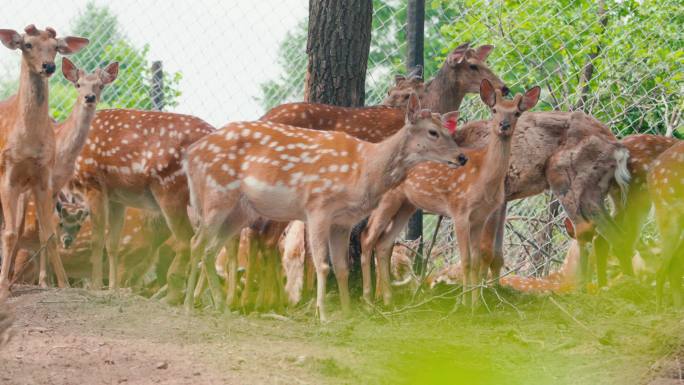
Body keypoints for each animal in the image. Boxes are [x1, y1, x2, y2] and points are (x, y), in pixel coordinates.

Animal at [0, 25, 89, 296]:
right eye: (27, 44)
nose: (48, 66)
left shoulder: (42, 179)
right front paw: (3, 288)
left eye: (56, 47)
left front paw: (62, 283)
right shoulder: (7, 174)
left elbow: (48, 233)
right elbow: (9, 233)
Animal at [69, 109, 214, 296]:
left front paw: (96, 287)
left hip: (169, 189)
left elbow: (98, 240)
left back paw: (175, 293)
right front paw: (113, 288)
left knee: (188, 240)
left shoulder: (93, 183)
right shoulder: (117, 197)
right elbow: (112, 243)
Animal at [184, 94, 468, 320]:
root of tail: (190, 156)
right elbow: (322, 264)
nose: (461, 157)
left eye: (449, 131)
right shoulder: (318, 207)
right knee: (196, 243)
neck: (364, 171)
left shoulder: (343, 221)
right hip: (216, 196)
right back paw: (189, 303)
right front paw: (323, 315)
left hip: (239, 211)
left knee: (209, 249)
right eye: (433, 132)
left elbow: (341, 268)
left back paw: (220, 305)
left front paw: (347, 312)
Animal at [360, 81, 544, 306]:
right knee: (367, 237)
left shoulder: (480, 217)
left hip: (407, 204)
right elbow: (465, 260)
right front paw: (464, 305)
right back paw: (368, 300)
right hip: (387, 199)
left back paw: (387, 300)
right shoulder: (459, 210)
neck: (483, 177)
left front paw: (477, 304)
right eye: (494, 110)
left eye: (517, 113)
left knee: (384, 244)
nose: (504, 125)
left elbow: (477, 260)